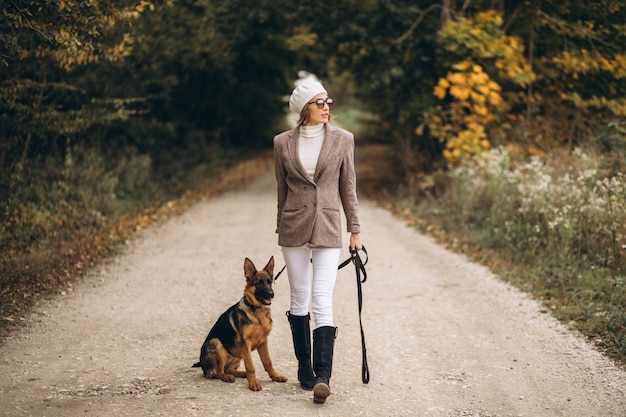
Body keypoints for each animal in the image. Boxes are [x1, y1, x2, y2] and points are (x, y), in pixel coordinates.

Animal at [191, 256, 286, 390]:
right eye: (258, 283)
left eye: (270, 282)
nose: (271, 294)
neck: (256, 311)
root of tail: (202, 363)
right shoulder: (246, 343)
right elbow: (251, 366)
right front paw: (254, 383)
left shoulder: (263, 342)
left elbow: (268, 361)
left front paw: (276, 376)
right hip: (216, 343)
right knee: (217, 372)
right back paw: (227, 377)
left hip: (238, 355)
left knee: (228, 369)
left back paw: (241, 373)